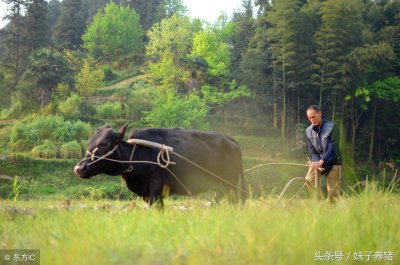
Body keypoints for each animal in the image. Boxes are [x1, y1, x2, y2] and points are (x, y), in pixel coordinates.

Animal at [73, 122, 245, 205]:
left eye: (105, 144)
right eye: (90, 142)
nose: (79, 168)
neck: (136, 155)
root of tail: (231, 140)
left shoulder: (156, 188)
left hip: (228, 185)